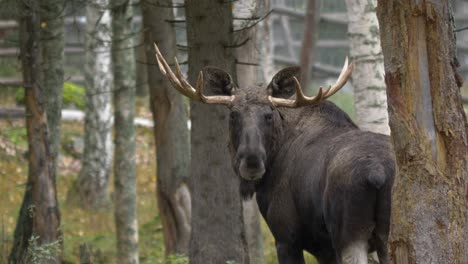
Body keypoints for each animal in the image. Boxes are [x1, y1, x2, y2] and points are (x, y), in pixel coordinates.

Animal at [154, 43, 394, 264]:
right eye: (233, 114)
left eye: (269, 115)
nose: (251, 162)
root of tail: (377, 173)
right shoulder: (322, 248)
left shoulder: (286, 237)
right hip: (384, 235)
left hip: (349, 235)